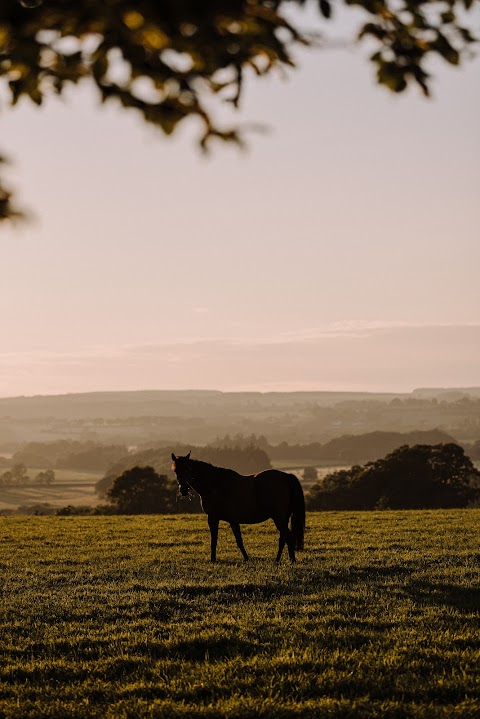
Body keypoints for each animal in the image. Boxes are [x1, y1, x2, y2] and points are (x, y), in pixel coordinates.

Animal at [171, 452, 306, 564]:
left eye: (188, 468)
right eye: (176, 470)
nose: (183, 489)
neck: (215, 484)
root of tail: (286, 477)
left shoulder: (213, 517)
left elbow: (214, 539)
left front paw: (213, 559)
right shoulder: (233, 520)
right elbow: (239, 541)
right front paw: (247, 558)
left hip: (279, 518)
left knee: (288, 537)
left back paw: (291, 561)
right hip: (283, 518)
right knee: (283, 538)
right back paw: (278, 560)